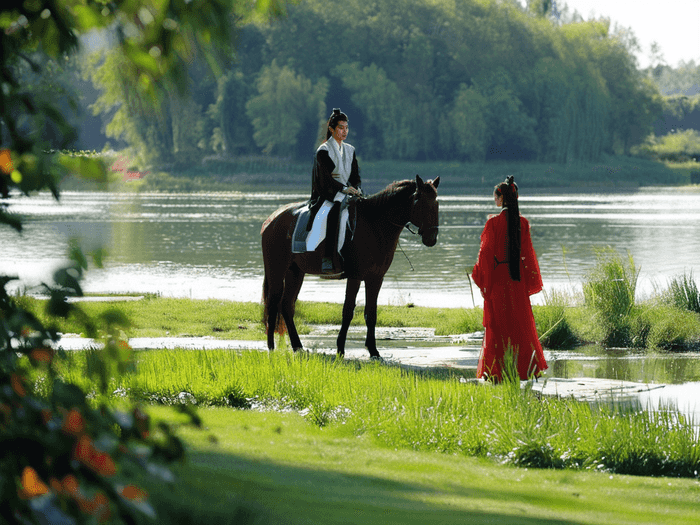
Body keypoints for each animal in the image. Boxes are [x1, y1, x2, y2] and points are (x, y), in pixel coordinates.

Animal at [260, 174, 440, 358]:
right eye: (423, 203)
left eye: (436, 203)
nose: (431, 238)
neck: (374, 224)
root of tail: (272, 219)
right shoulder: (355, 276)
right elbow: (347, 311)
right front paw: (340, 348)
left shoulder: (376, 278)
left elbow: (371, 312)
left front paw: (373, 350)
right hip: (277, 269)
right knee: (273, 304)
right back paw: (271, 348)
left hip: (295, 272)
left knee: (287, 305)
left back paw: (298, 346)